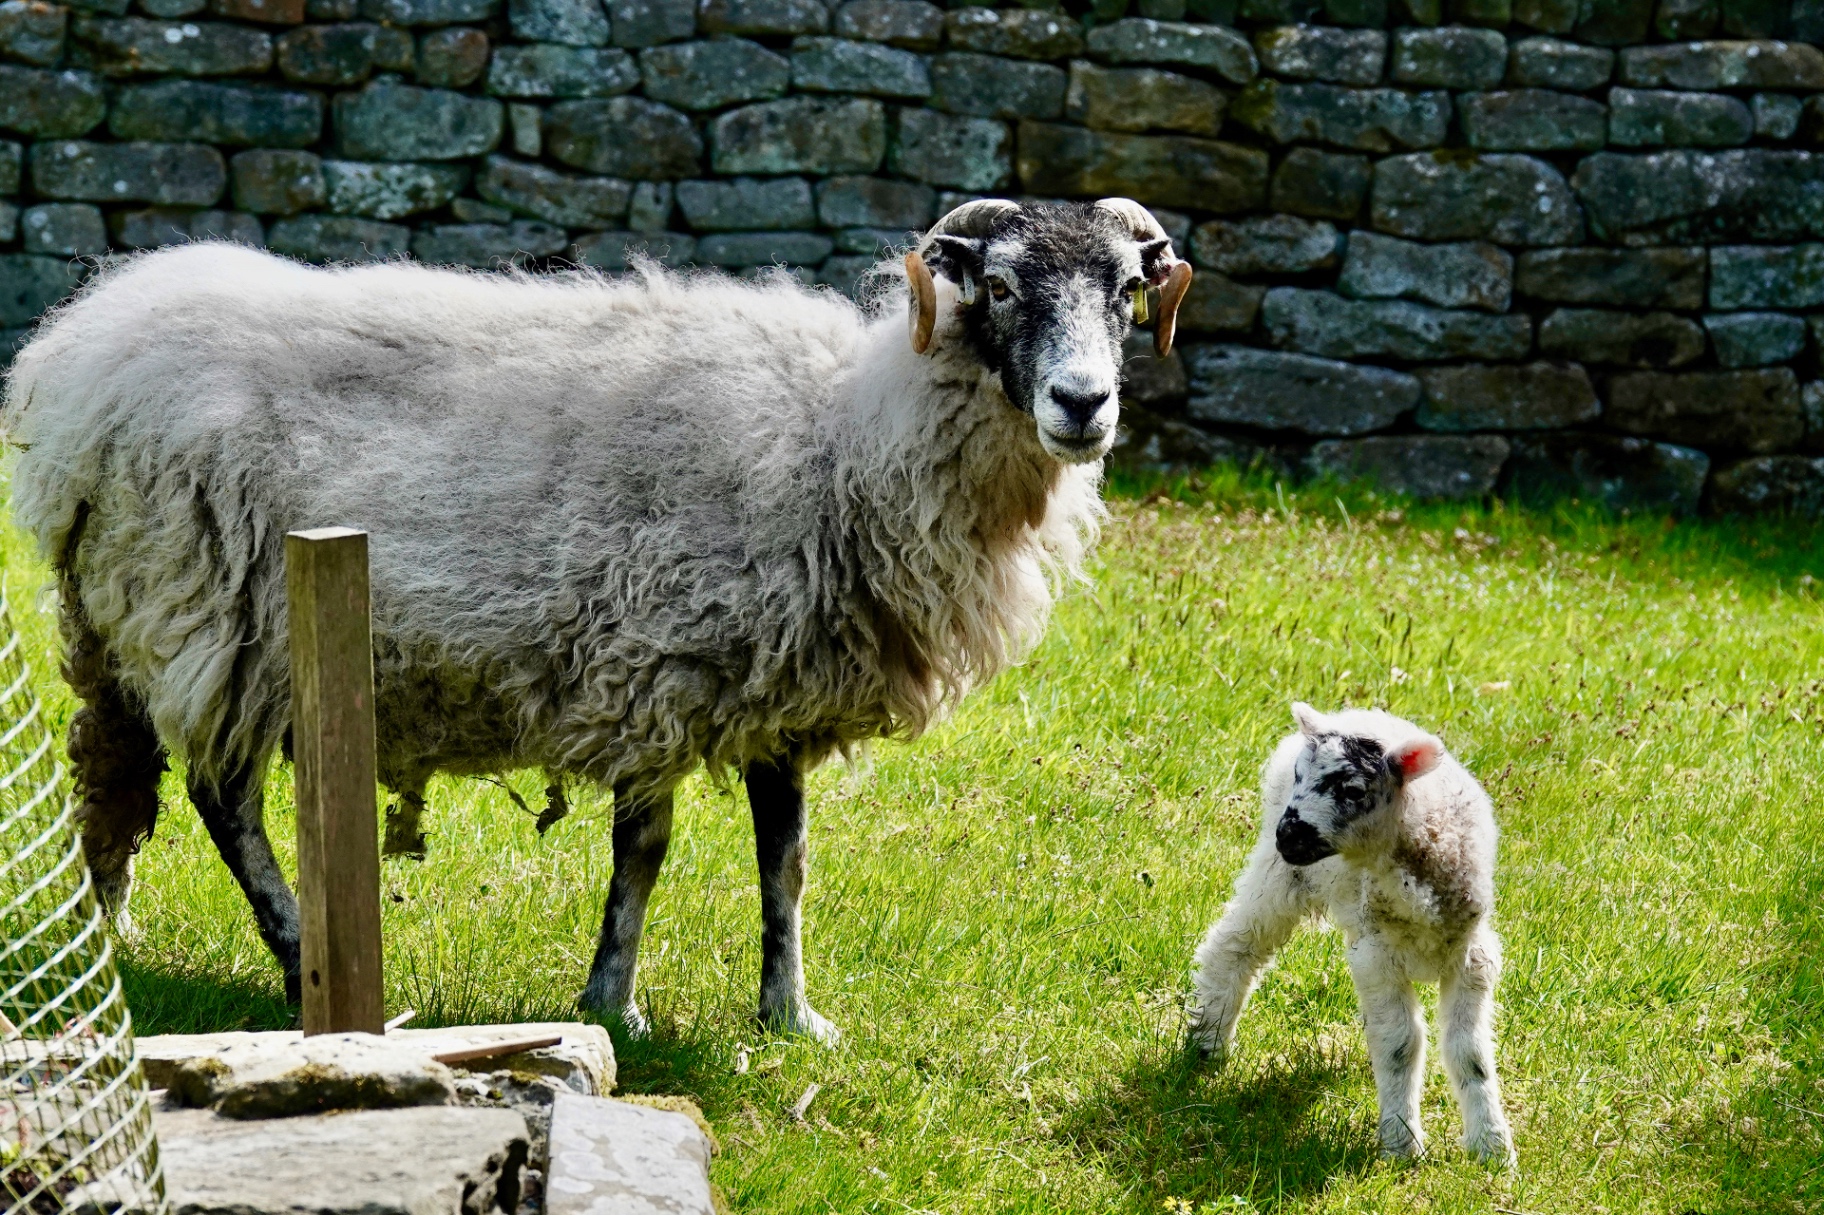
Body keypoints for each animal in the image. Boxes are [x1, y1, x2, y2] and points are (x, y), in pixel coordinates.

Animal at [3, 198, 1193, 1040]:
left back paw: (114, 934)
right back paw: (300, 957)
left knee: (119, 779)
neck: (847, 440)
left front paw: (791, 1017)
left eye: (1126, 290)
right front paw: (612, 1002)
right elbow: (643, 856)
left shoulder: (776, 684)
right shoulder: (656, 662)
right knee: (222, 799)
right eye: (999, 285)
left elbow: (786, 860)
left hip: (140, 622)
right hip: (214, 614)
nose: (1083, 405)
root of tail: (79, 357)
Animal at [1189, 703, 1515, 1165]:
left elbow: (1470, 1053)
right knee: (1235, 947)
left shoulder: (1471, 955)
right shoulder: (1376, 953)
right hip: (1280, 875)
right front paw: (1401, 1146)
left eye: (1354, 790)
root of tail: (1345, 713)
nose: (1289, 835)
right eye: (1299, 776)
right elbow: (1400, 1044)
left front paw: (1492, 1148)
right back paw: (1206, 1044)